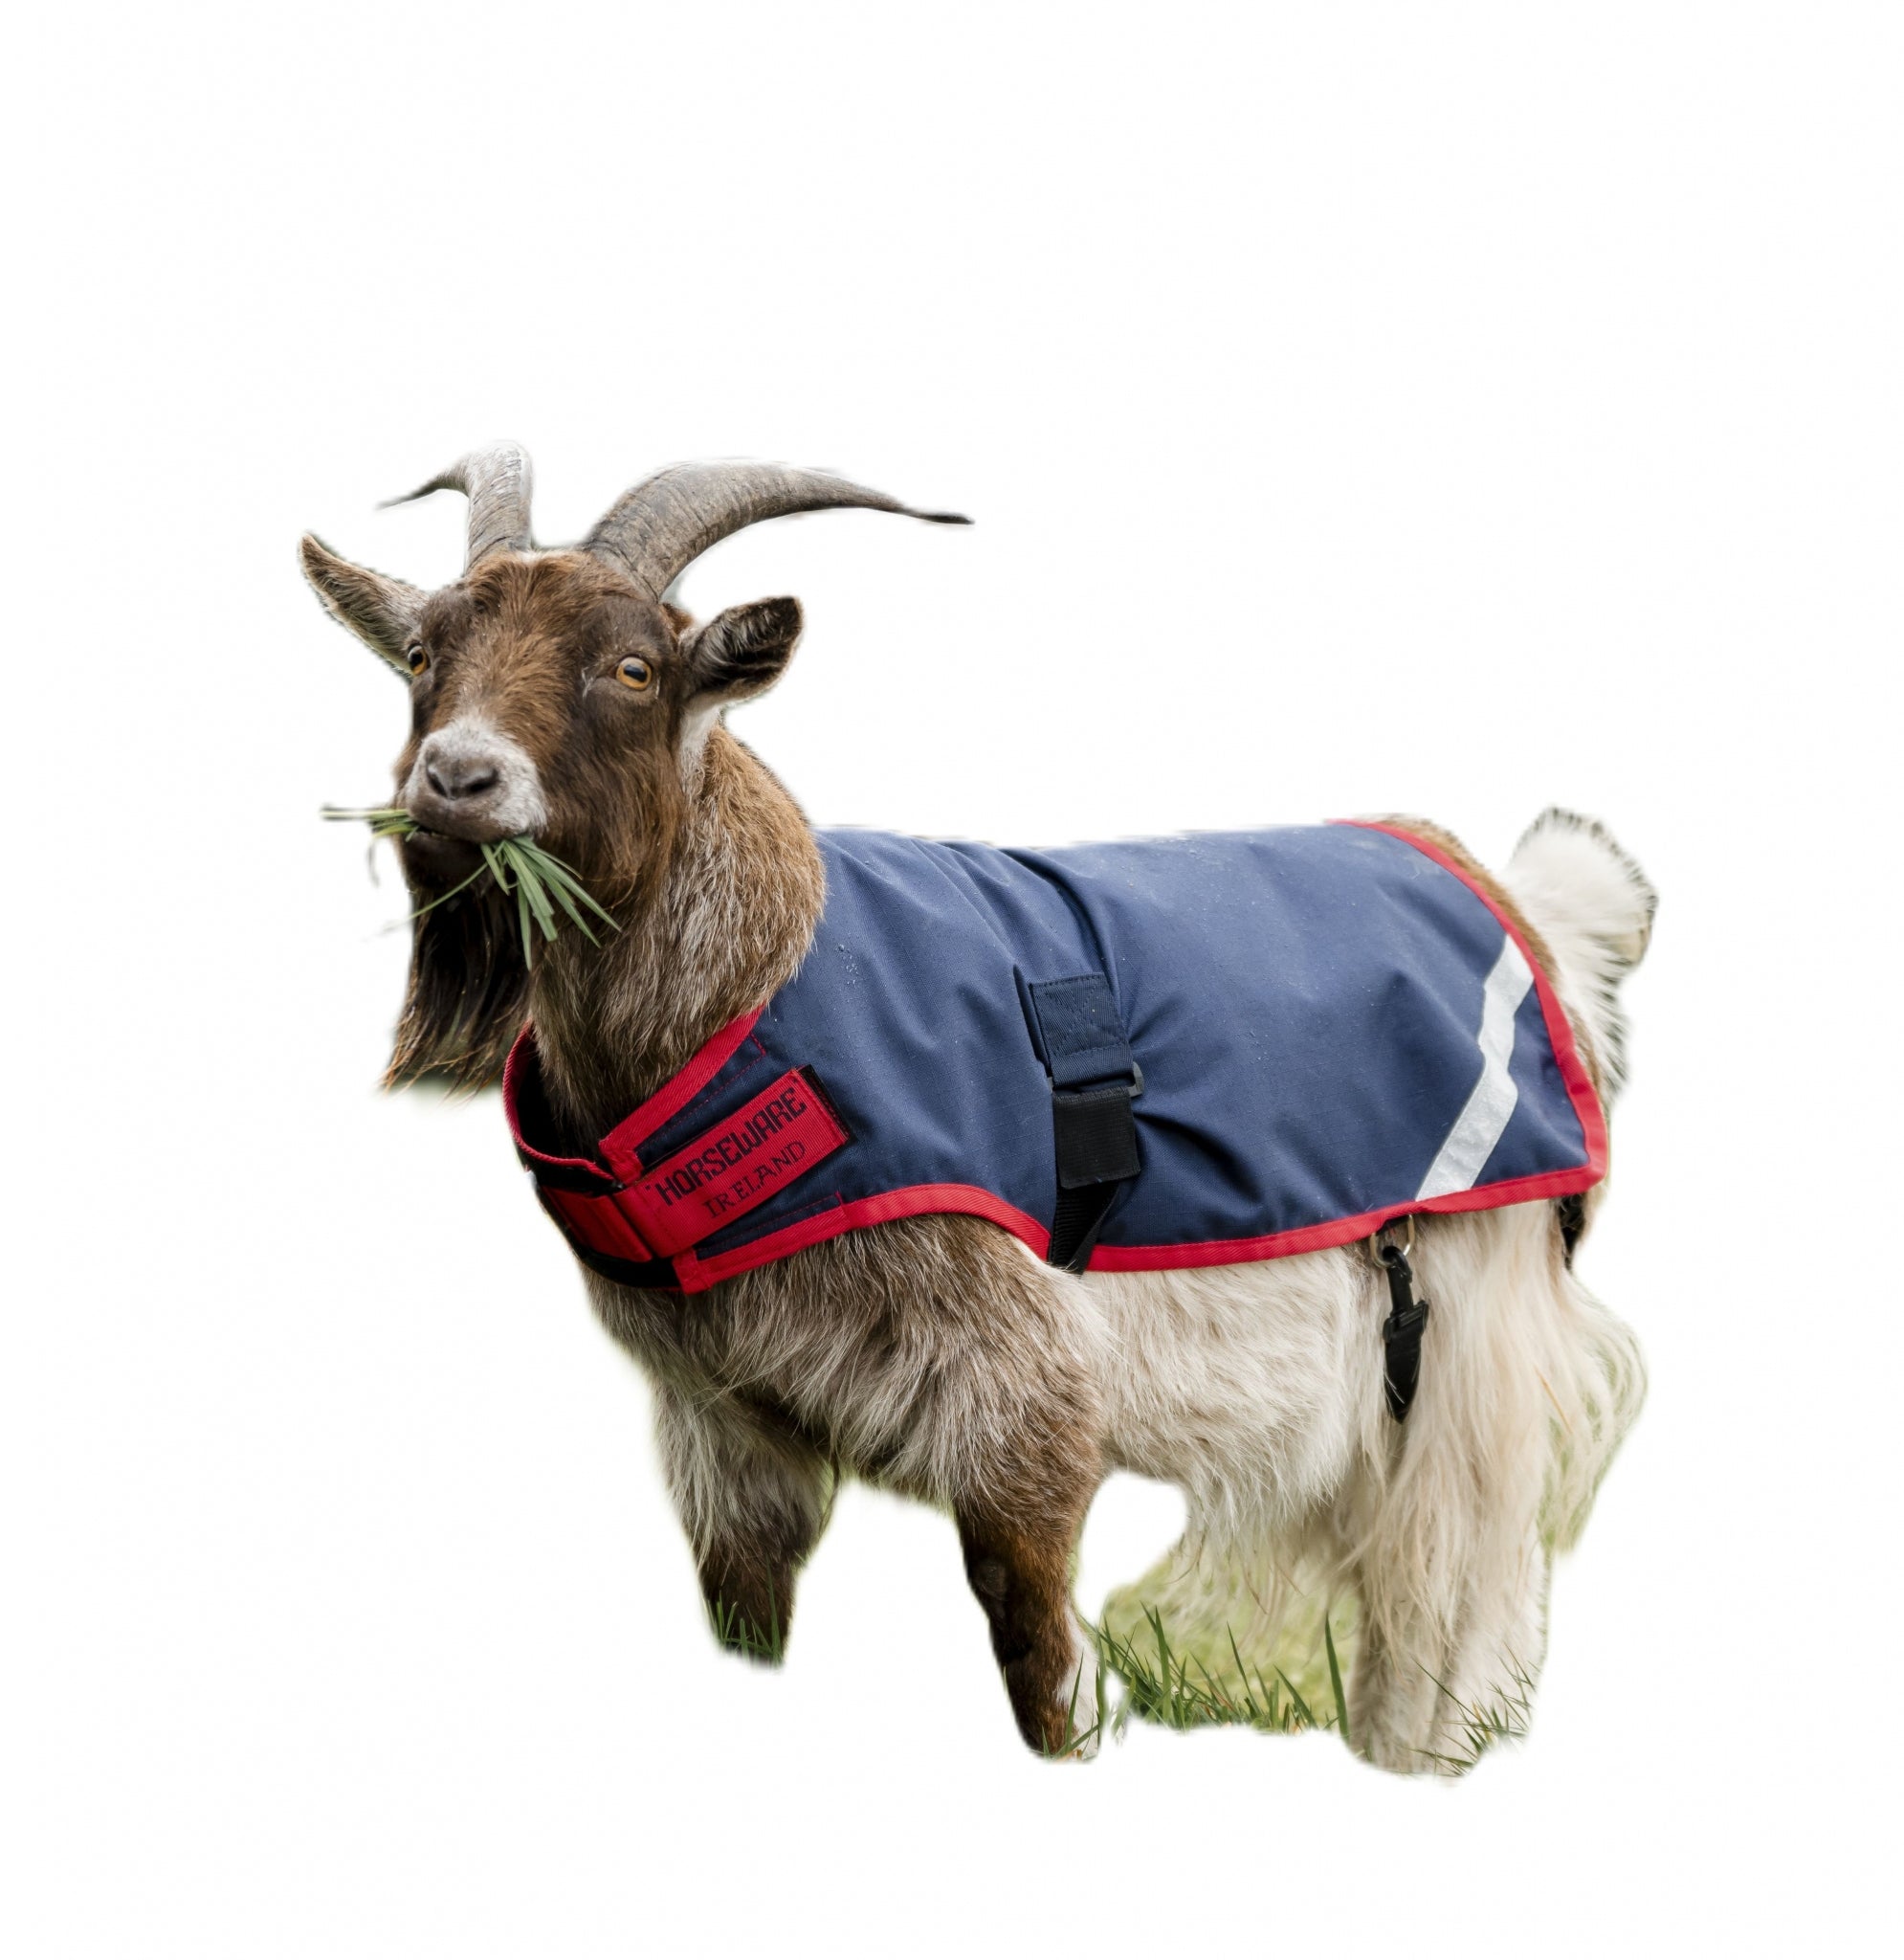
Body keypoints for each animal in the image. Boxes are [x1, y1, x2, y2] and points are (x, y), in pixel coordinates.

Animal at [303, 444, 1653, 1769]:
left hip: (1471, 1326)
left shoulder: (1018, 1381)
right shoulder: (724, 1412)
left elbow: (1033, 1642)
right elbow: (745, 1608)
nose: (458, 777)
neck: (758, 993)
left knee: (1451, 1593)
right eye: (422, 654)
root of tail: (1520, 900)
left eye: (633, 667)